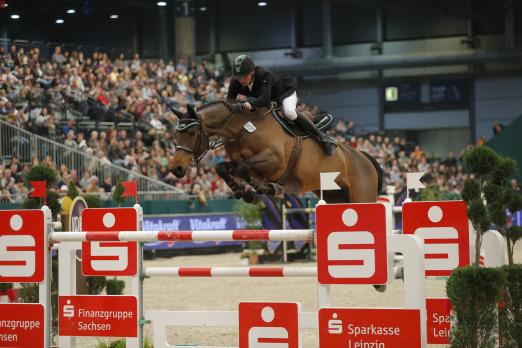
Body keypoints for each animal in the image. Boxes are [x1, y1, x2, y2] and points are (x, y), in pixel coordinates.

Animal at [168, 100, 382, 204]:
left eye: (191, 133)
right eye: (175, 134)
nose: (176, 169)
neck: (242, 129)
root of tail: (364, 157)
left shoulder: (275, 161)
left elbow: (245, 168)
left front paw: (264, 189)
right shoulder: (237, 163)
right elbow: (223, 168)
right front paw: (244, 193)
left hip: (362, 196)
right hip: (334, 197)